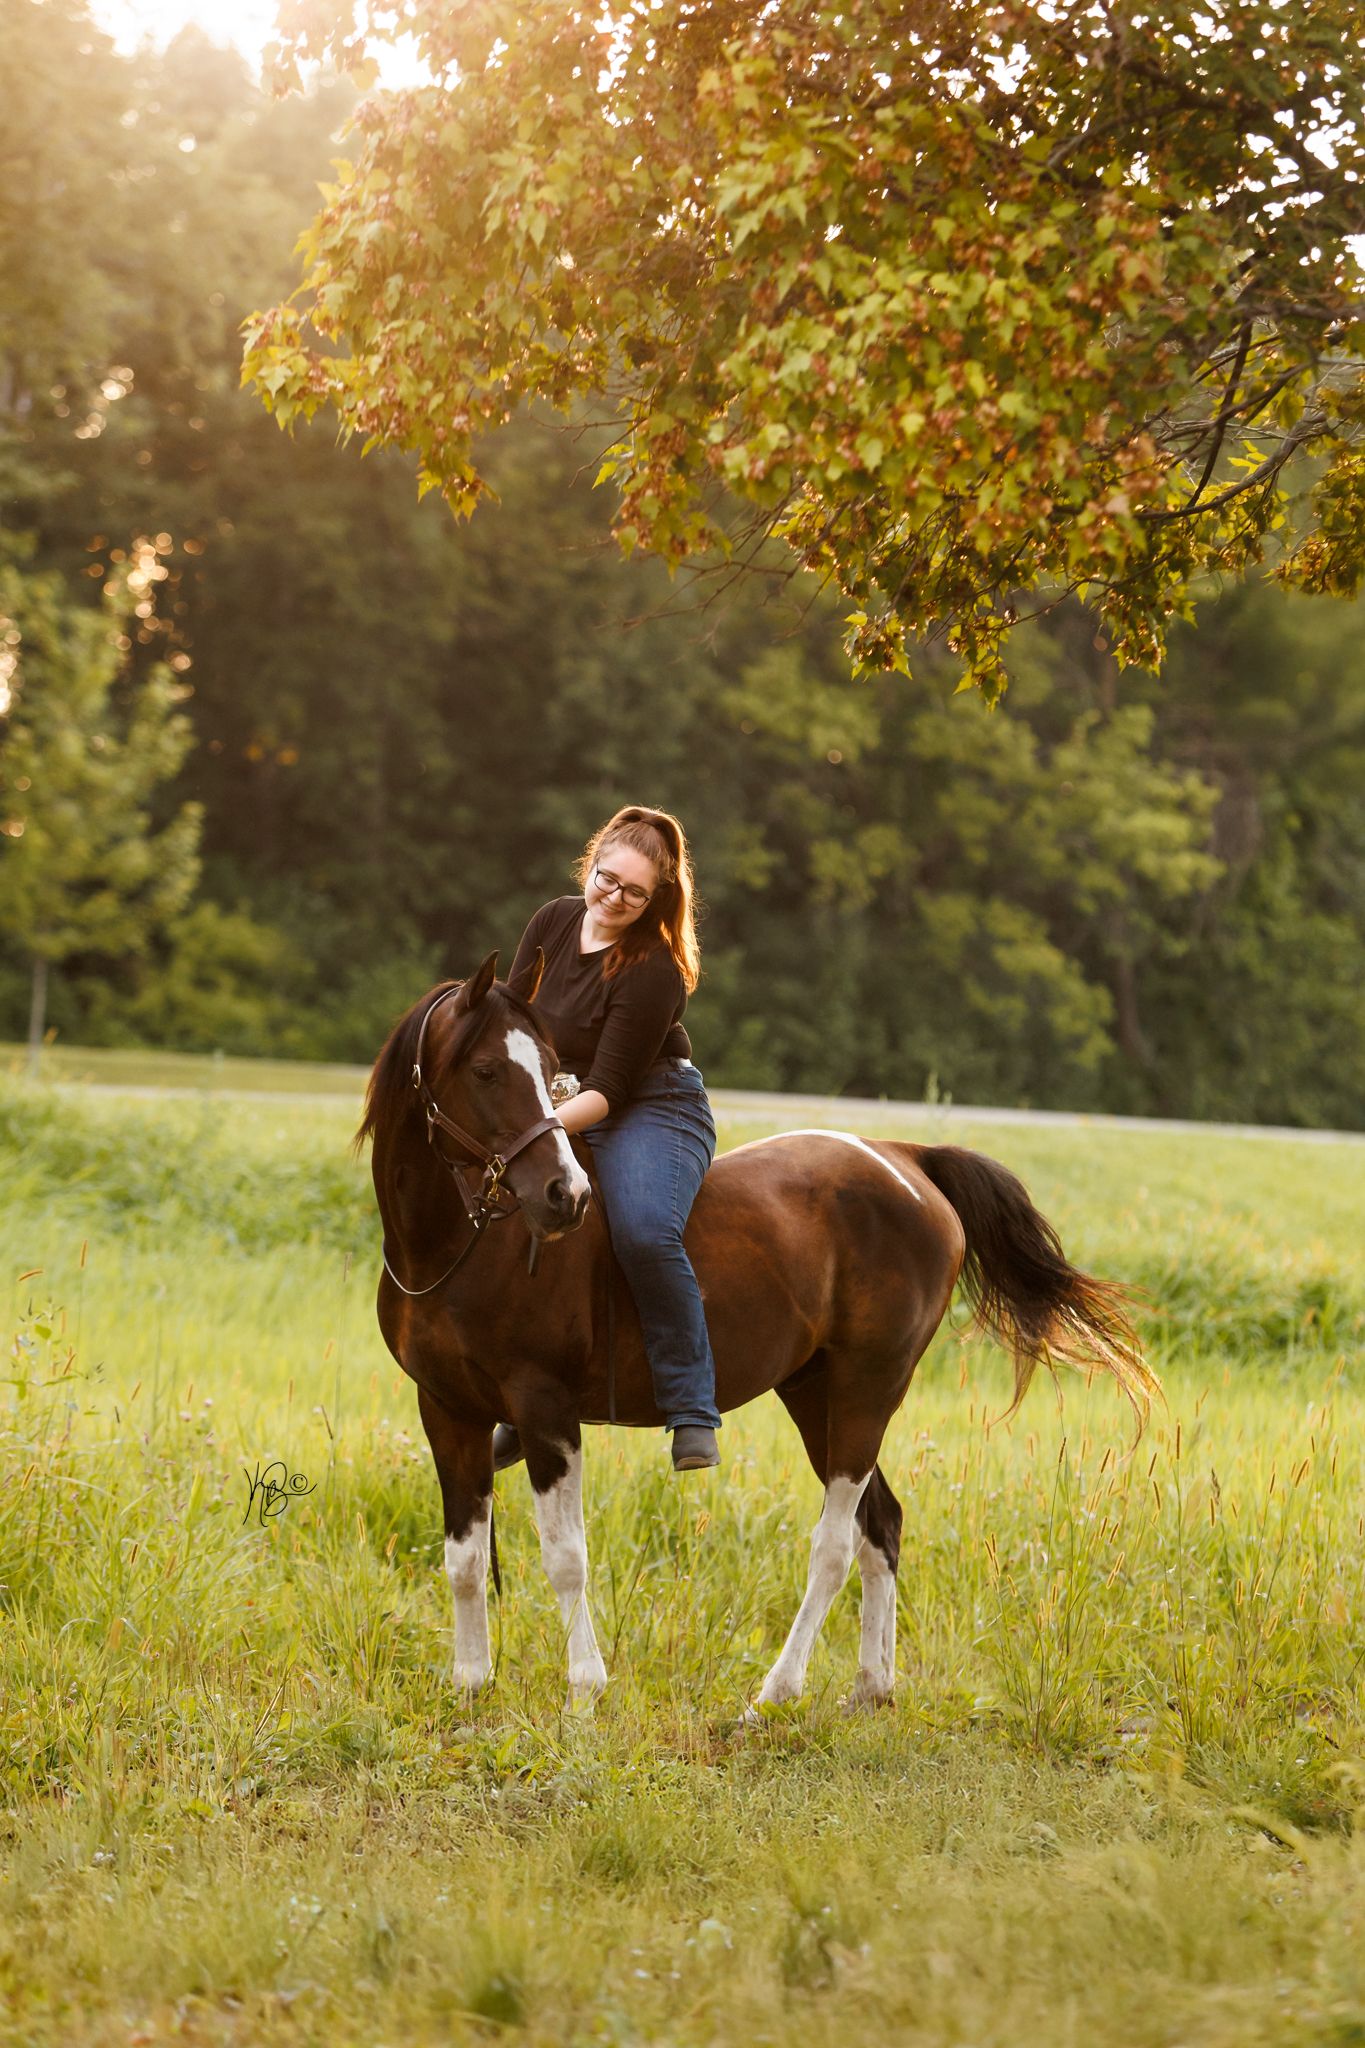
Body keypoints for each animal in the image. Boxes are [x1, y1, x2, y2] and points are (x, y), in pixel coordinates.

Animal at [358, 955, 1157, 1711]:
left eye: (546, 1068)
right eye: (487, 1070)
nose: (566, 1195)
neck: (460, 1248)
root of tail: (906, 1159)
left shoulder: (545, 1409)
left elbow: (564, 1556)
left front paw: (584, 1688)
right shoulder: (448, 1411)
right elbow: (464, 1557)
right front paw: (470, 1683)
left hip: (867, 1390)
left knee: (835, 1544)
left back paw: (776, 1692)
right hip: (814, 1394)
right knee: (881, 1525)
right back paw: (871, 1688)